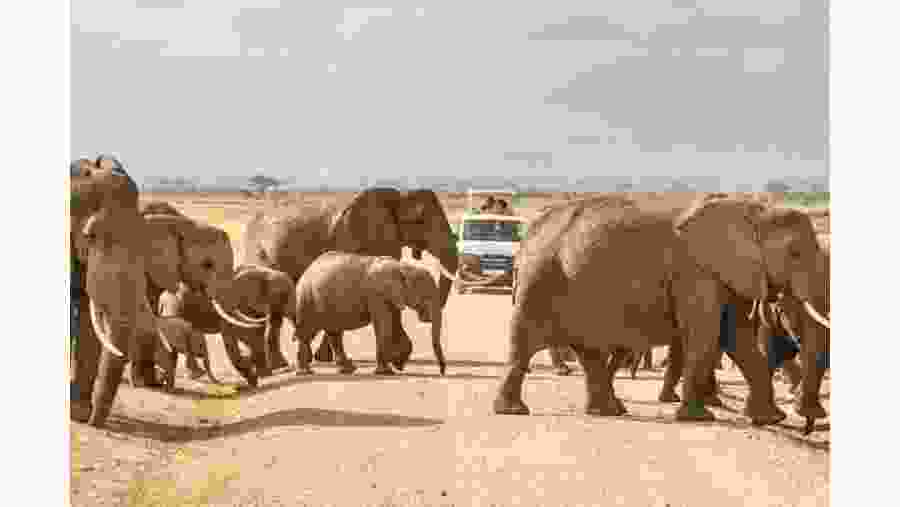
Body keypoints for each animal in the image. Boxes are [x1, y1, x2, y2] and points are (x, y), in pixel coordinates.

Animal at [157, 264, 297, 387]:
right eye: (283, 295)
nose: (294, 338)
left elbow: (257, 331)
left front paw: (263, 372)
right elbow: (243, 333)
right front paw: (259, 373)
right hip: (174, 304)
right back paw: (195, 375)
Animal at [293, 252, 447, 375]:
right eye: (425, 295)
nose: (442, 371)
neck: (402, 268)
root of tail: (306, 270)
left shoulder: (391, 297)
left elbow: (392, 322)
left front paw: (397, 363)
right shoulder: (377, 294)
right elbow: (384, 324)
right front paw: (386, 372)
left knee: (334, 333)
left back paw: (347, 370)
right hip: (307, 299)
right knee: (307, 332)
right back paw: (305, 372)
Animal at [493, 194, 830, 425]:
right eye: (795, 253)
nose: (810, 423)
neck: (751, 210)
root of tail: (528, 236)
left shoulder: (727, 275)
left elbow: (739, 339)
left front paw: (771, 419)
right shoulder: (696, 274)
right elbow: (705, 337)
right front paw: (698, 418)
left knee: (587, 351)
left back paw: (609, 411)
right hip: (540, 280)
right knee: (524, 344)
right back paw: (512, 411)